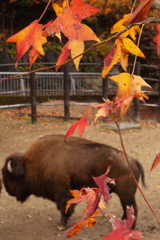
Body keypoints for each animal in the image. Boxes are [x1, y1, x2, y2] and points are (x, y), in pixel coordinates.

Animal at [1, 134, 145, 230]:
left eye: (9, 177)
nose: (8, 191)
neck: (32, 164)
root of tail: (133, 160)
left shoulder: (61, 193)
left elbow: (64, 207)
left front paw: (61, 224)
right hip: (125, 196)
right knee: (127, 209)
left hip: (126, 195)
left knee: (133, 209)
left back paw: (130, 228)